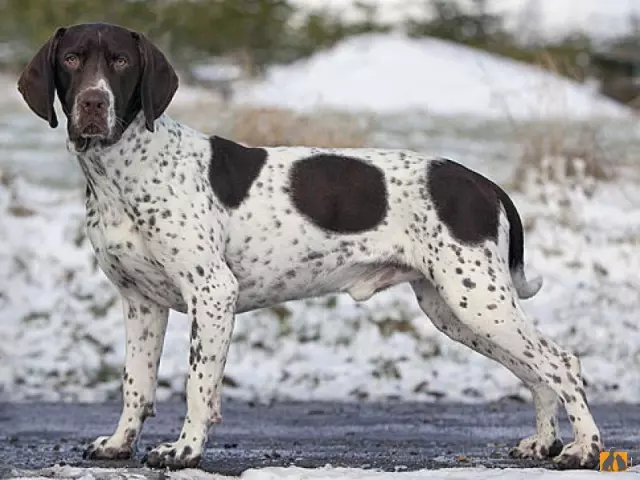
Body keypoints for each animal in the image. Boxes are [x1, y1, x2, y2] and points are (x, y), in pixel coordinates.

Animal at [16, 22, 604, 468]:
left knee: (563, 362)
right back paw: (545, 443)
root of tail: (484, 184)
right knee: (537, 372)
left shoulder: (213, 294)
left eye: (119, 62)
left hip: (479, 302)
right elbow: (135, 386)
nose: (93, 103)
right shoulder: (141, 303)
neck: (122, 170)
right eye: (72, 59)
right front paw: (120, 444)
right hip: (457, 310)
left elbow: (197, 385)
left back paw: (584, 449)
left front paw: (185, 450)